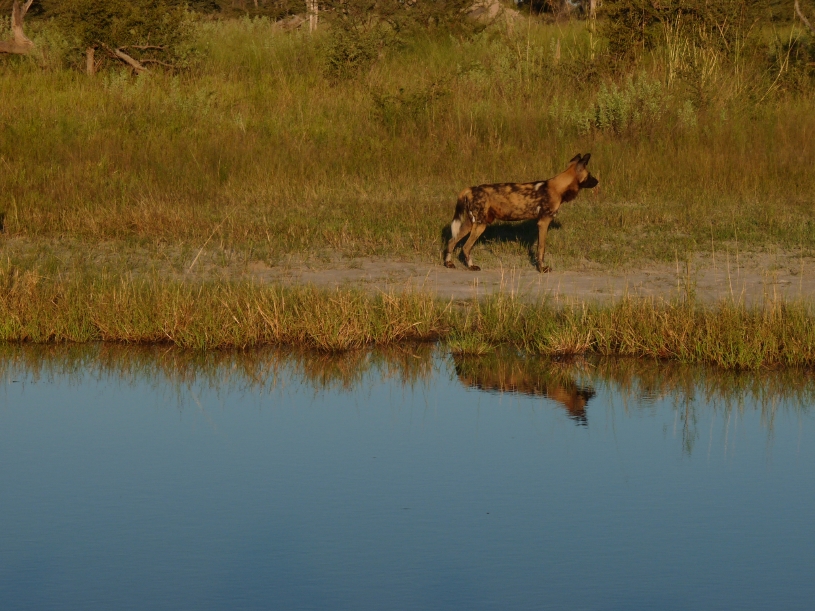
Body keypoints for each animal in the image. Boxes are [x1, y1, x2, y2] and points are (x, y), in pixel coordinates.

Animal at [444, 153, 598, 272]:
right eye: (590, 175)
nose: (597, 181)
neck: (558, 187)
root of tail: (470, 189)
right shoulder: (543, 222)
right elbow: (541, 249)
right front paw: (542, 269)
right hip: (480, 226)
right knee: (466, 246)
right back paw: (472, 266)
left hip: (471, 223)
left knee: (452, 241)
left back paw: (449, 263)